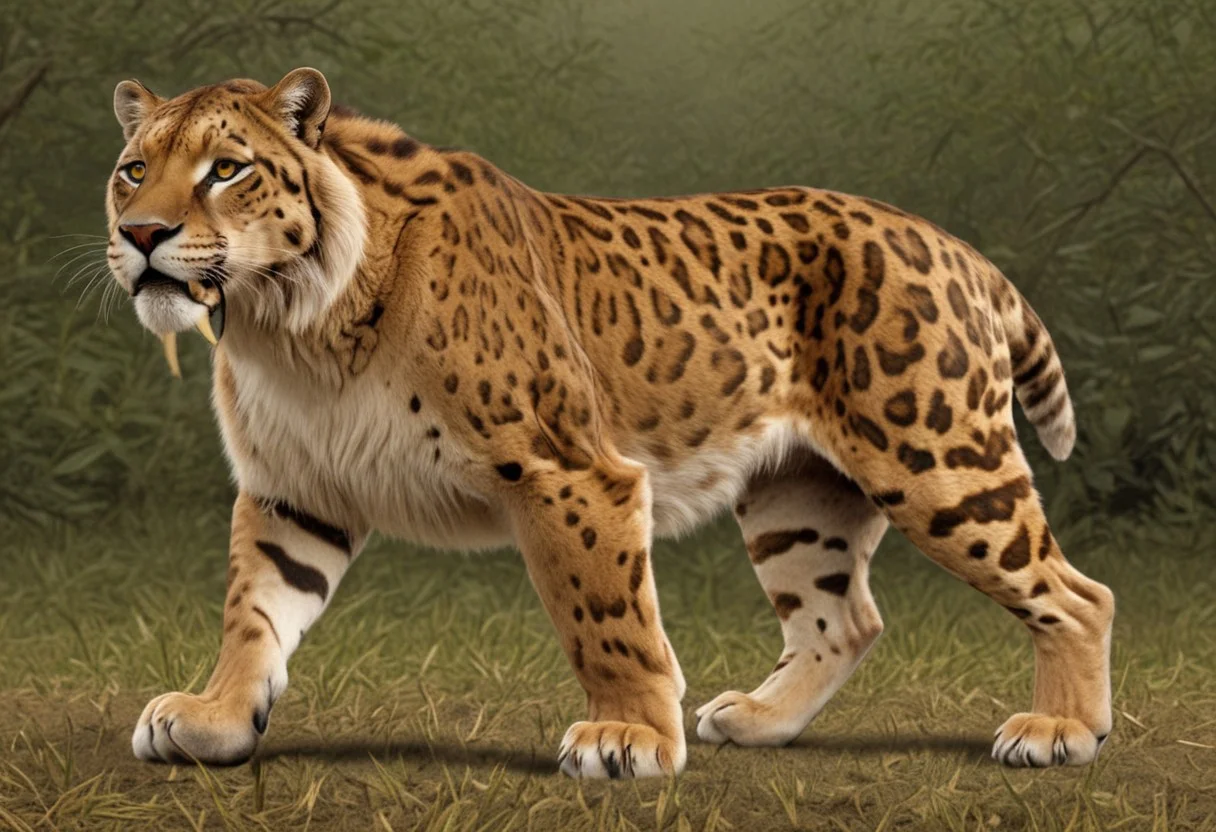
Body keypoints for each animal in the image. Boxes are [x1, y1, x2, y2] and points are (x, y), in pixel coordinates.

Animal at [104, 68, 1113, 778]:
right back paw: (759, 720)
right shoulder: (294, 489)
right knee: (846, 619)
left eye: (227, 170)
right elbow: (254, 611)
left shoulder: (569, 470)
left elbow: (603, 612)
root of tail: (954, 245)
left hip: (940, 462)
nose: (141, 235)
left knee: (1076, 593)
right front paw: (216, 718)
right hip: (798, 498)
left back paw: (1060, 731)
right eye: (133, 173)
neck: (292, 329)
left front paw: (627, 738)